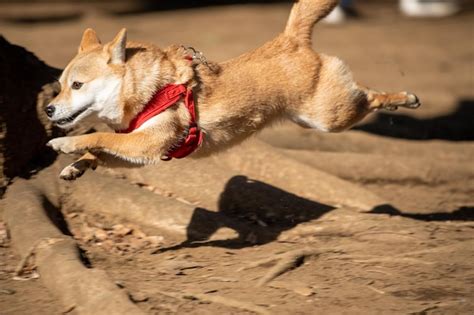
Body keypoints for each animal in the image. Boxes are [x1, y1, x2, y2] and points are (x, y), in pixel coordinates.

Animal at [47, 0, 418, 181]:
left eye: (77, 85)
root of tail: (289, 38)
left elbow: (99, 137)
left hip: (327, 118)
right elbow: (102, 149)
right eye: (60, 86)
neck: (148, 91)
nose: (48, 110)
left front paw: (65, 144)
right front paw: (78, 166)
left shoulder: (150, 141)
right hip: (310, 118)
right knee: (362, 94)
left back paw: (403, 98)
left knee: (369, 95)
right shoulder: (145, 153)